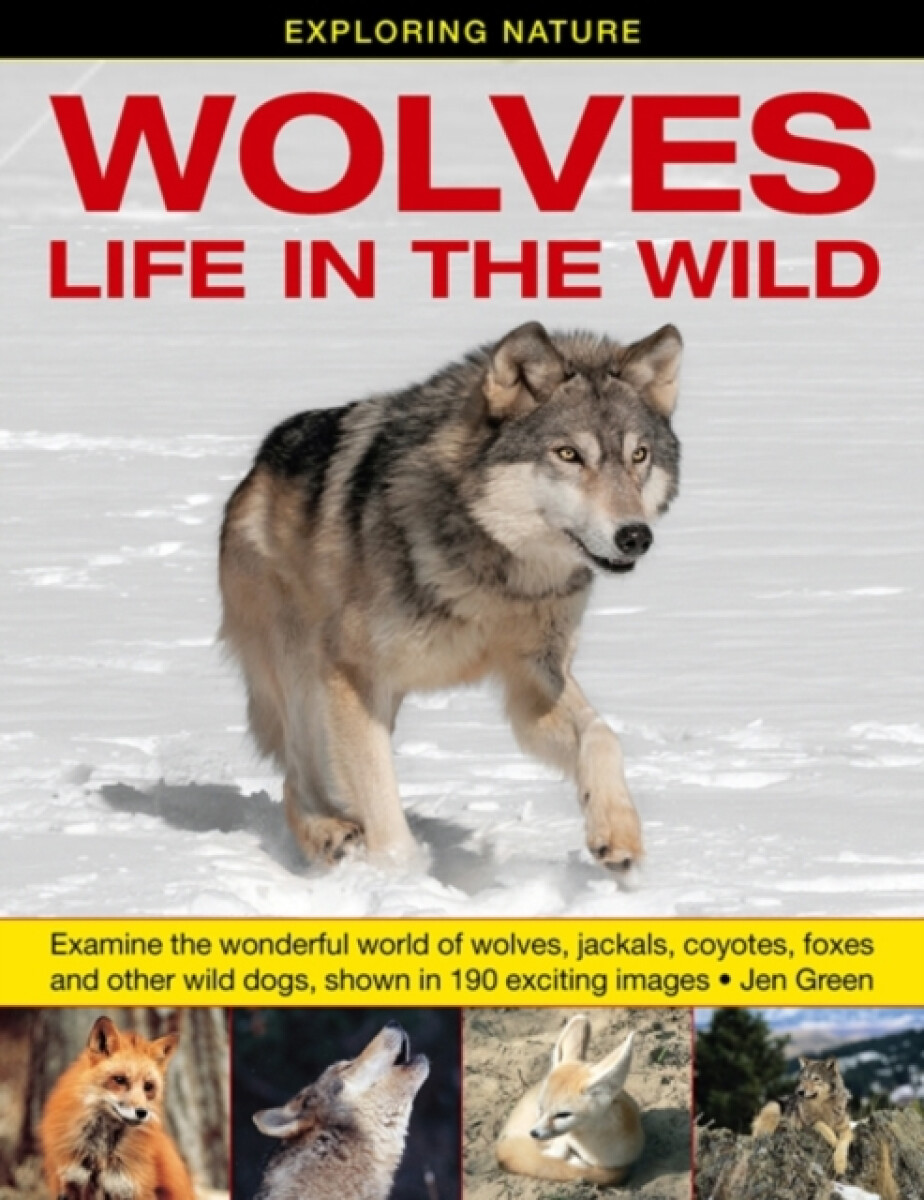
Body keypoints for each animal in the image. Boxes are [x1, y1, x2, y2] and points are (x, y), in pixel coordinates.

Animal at [40, 1016, 194, 1200]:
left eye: (148, 1086)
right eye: (120, 1080)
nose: (142, 1112)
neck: (101, 1152)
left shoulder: (131, 1188)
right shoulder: (70, 1182)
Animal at [219, 320, 682, 876]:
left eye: (639, 456)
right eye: (569, 454)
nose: (635, 536)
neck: (497, 576)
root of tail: (257, 466)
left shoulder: (535, 677)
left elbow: (603, 736)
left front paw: (616, 833)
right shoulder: (353, 675)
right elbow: (385, 816)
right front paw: (403, 881)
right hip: (304, 671)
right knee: (296, 777)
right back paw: (329, 835)